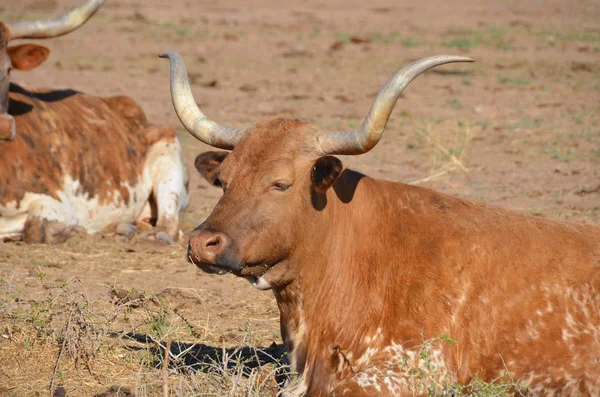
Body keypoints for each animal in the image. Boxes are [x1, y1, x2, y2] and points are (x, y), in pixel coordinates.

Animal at [0, 0, 188, 244]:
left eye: (7, 69)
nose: (4, 125)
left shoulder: (55, 202)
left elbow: (36, 230)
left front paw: (72, 231)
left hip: (168, 159)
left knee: (169, 224)